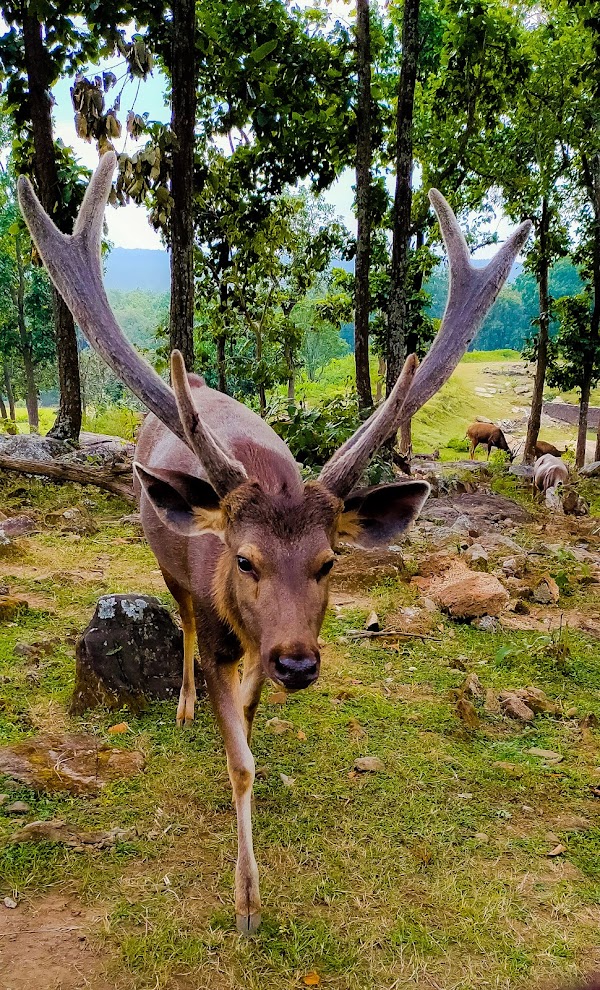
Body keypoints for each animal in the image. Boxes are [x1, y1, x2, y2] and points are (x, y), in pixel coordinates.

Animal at [15, 155, 528, 936]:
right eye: (244, 559)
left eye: (329, 562)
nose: (298, 662)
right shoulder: (219, 625)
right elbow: (239, 760)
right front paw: (247, 900)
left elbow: (251, 729)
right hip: (167, 567)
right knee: (181, 616)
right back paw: (184, 705)